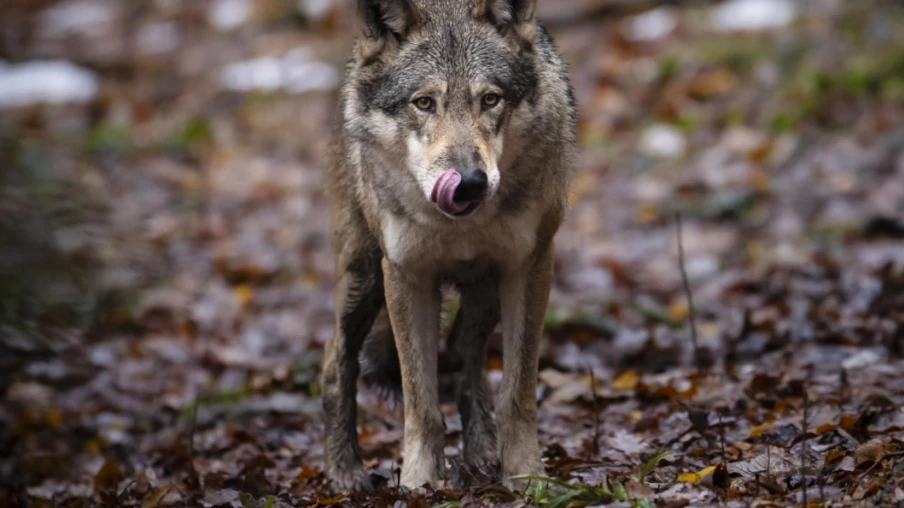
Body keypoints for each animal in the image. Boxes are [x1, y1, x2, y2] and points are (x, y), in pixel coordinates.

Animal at [320, 0, 576, 492]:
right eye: (425, 103)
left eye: (490, 100)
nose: (470, 182)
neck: (461, 226)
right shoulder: (406, 275)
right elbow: (420, 403)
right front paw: (419, 484)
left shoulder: (530, 266)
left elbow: (517, 392)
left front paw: (526, 476)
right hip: (363, 278)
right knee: (335, 359)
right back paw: (344, 472)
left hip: (486, 290)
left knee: (462, 353)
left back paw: (481, 453)